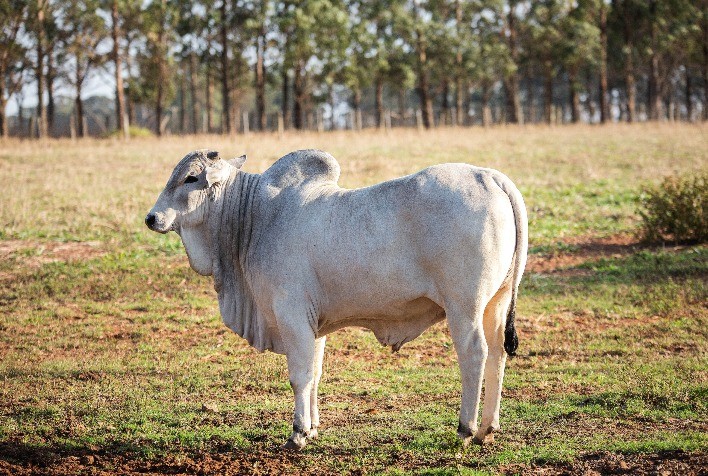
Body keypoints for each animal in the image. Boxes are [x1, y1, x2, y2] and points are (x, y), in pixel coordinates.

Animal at [145, 150, 524, 450]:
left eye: (191, 178)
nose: (151, 218)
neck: (254, 216)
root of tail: (490, 176)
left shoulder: (291, 315)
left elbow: (299, 375)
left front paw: (298, 433)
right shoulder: (314, 324)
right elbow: (315, 373)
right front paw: (312, 428)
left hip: (464, 306)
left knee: (474, 355)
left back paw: (466, 429)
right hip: (496, 301)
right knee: (498, 354)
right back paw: (488, 428)